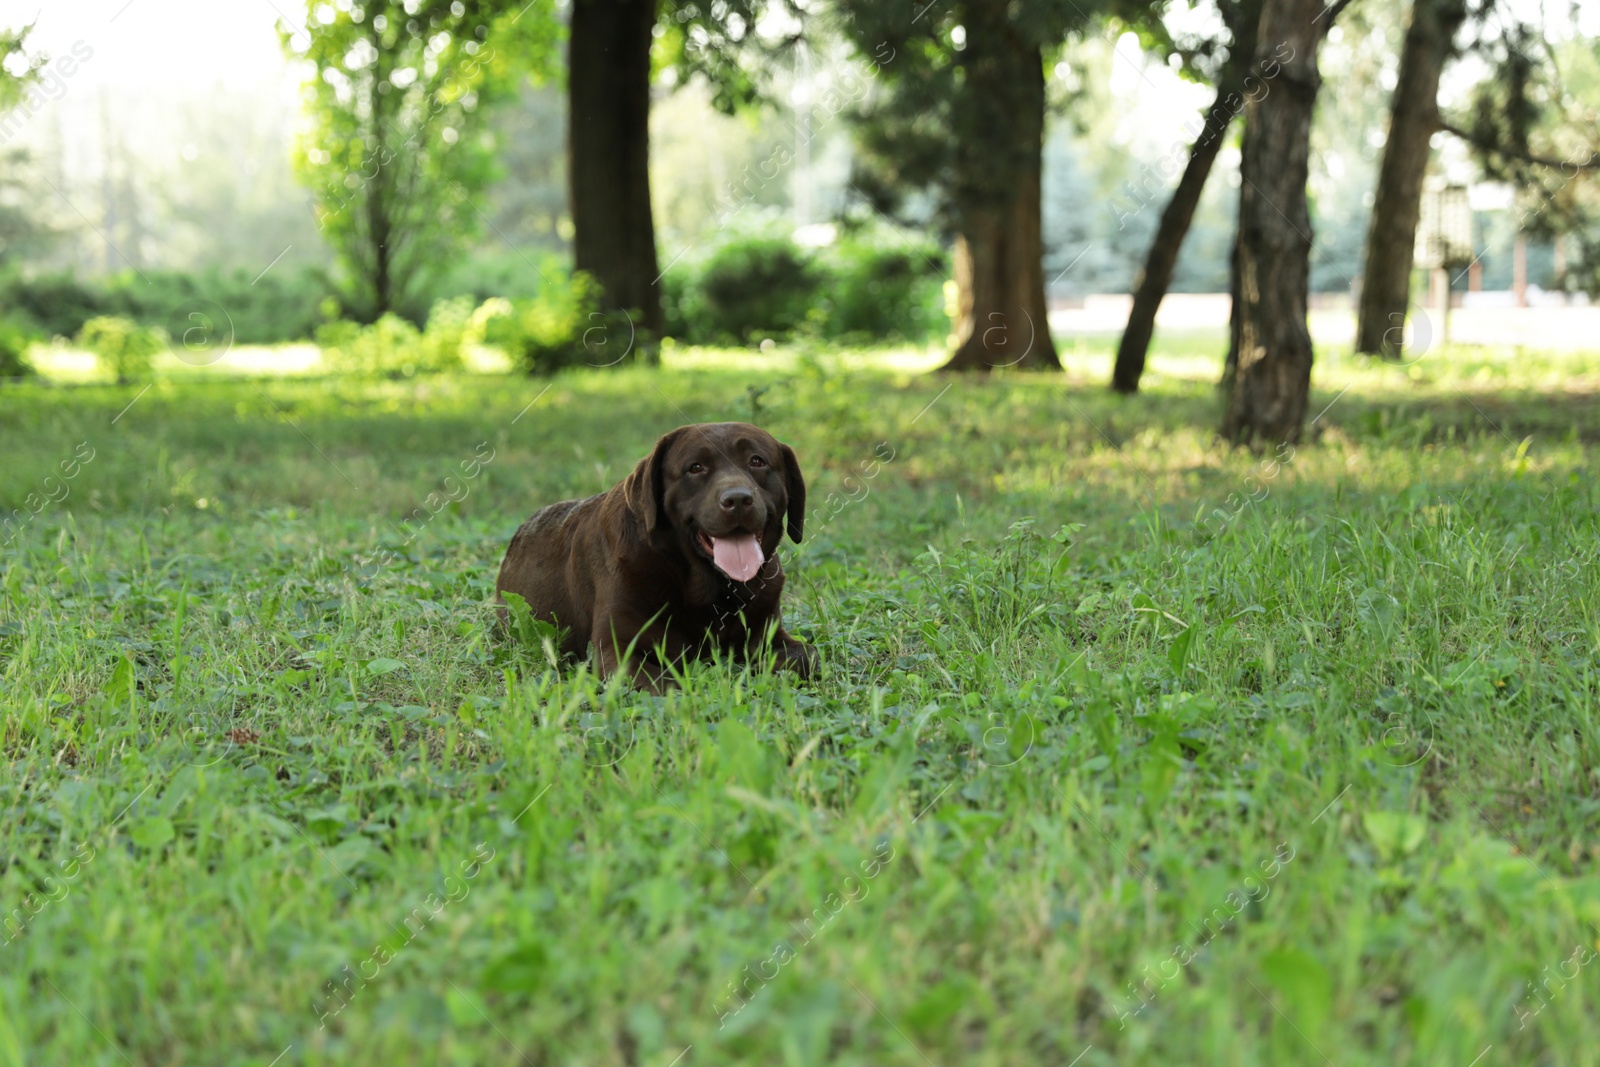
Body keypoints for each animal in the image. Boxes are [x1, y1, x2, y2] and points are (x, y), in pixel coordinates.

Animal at [492, 422, 819, 687]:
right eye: (695, 467)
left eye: (757, 461)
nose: (738, 499)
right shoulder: (616, 651)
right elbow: (665, 685)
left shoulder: (770, 634)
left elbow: (808, 655)